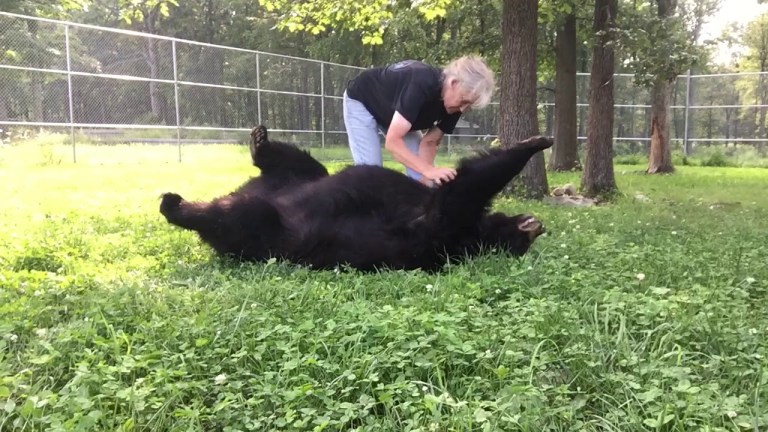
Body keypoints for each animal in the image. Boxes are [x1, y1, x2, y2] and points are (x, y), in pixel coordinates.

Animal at [159, 125, 552, 272]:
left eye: (522, 243)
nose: (538, 226)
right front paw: (536, 141)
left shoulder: (447, 229)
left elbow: (463, 190)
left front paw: (532, 143)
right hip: (300, 176)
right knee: (302, 164)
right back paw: (260, 143)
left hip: (273, 231)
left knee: (236, 216)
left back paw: (177, 205)